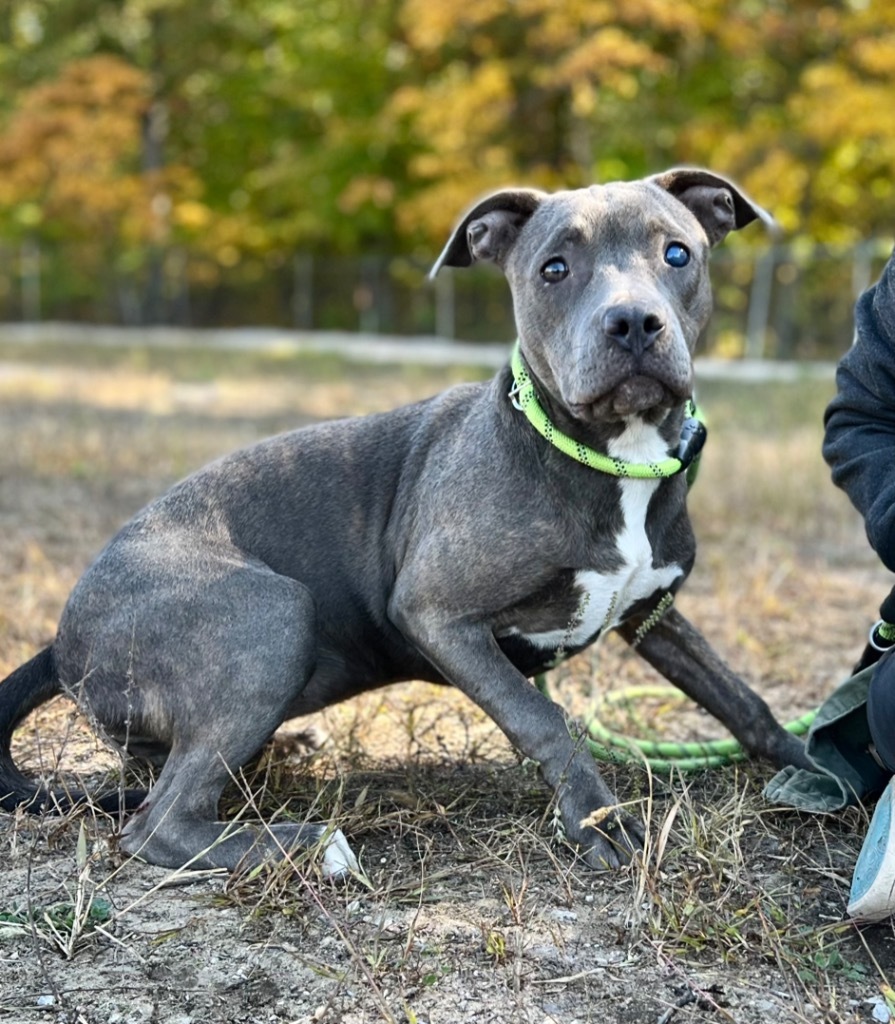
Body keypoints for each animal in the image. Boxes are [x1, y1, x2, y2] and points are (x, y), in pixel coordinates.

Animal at [0, 167, 811, 872]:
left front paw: (816, 764)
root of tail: (63, 637)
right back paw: (308, 846)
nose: (634, 322)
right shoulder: (436, 615)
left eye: (677, 254)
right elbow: (542, 718)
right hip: (270, 612)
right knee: (157, 823)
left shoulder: (654, 613)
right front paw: (598, 818)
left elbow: (742, 700)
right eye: (553, 269)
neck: (610, 460)